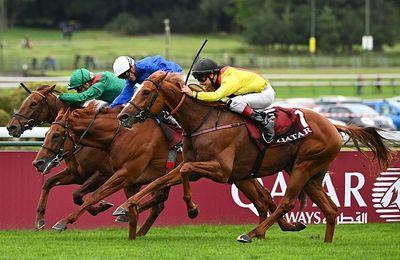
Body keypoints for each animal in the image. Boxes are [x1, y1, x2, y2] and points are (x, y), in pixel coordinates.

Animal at [33, 103, 306, 240]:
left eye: (55, 135)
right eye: (46, 133)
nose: (38, 162)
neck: (118, 134)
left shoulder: (122, 172)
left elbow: (91, 197)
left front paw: (63, 222)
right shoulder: (129, 178)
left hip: (232, 173)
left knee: (263, 198)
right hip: (238, 175)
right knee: (262, 199)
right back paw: (276, 228)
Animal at [114, 70, 392, 243]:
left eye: (146, 92)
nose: (123, 116)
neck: (203, 121)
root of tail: (333, 124)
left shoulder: (221, 169)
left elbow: (182, 172)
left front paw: (192, 209)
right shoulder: (198, 164)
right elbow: (159, 180)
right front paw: (125, 206)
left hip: (304, 166)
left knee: (286, 202)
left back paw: (251, 233)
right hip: (311, 174)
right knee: (331, 210)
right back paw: (324, 243)